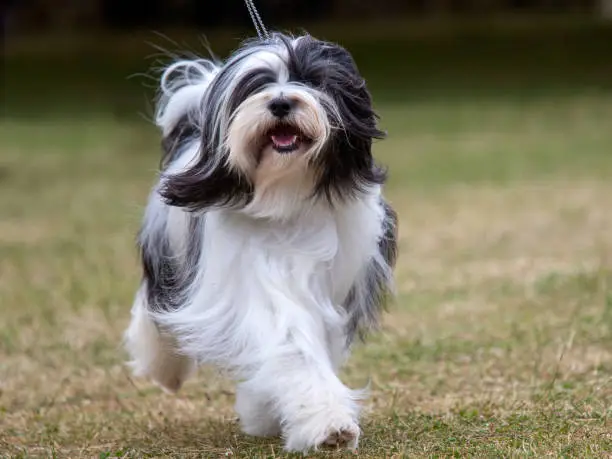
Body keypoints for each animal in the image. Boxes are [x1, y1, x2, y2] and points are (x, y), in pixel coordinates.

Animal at [126, 31, 400, 452]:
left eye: (312, 79)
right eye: (256, 86)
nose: (281, 102)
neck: (286, 195)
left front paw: (280, 415)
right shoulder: (253, 280)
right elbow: (292, 344)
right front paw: (328, 424)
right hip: (168, 258)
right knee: (155, 309)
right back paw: (165, 368)